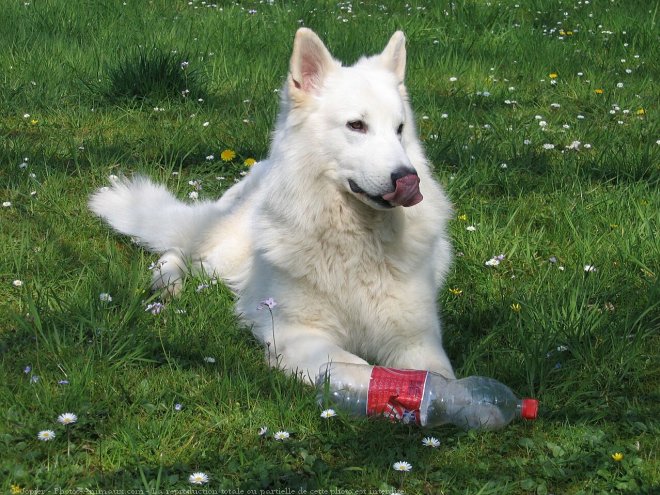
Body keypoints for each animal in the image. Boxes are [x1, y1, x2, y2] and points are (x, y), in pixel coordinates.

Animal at [90, 28, 456, 384]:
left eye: (399, 129)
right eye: (356, 125)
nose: (408, 178)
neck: (356, 241)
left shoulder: (417, 340)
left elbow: (436, 376)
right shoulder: (299, 334)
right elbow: (359, 369)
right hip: (222, 257)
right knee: (181, 251)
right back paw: (166, 284)